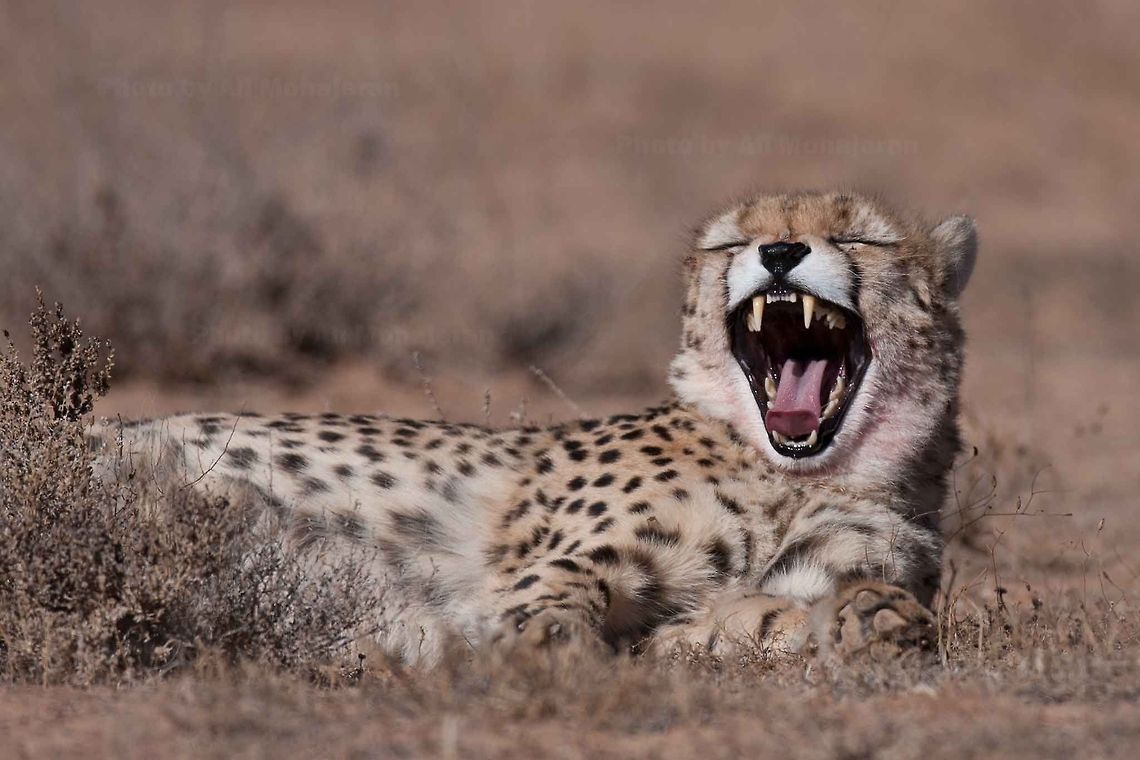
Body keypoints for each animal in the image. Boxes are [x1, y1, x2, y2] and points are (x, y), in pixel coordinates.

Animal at [91, 190, 978, 664]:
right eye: (735, 240)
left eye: (858, 235)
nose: (782, 252)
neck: (795, 472)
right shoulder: (557, 568)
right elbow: (551, 598)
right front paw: (550, 649)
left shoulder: (704, 620)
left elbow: (759, 619)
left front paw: (873, 620)